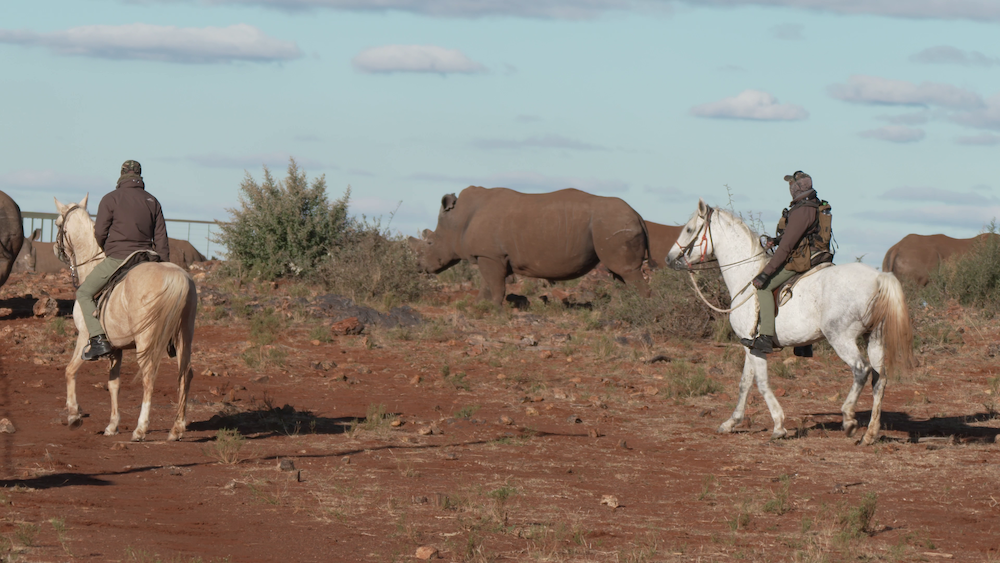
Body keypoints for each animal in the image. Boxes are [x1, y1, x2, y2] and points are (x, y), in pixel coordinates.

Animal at [55, 195, 198, 442]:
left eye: (57, 223)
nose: (56, 249)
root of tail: (176, 277)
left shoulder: (84, 338)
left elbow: (70, 371)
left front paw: (74, 415)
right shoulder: (116, 349)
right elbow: (114, 384)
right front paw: (112, 425)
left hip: (146, 342)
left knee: (149, 376)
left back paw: (140, 429)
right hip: (183, 338)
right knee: (185, 374)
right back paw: (176, 428)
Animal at [408, 186, 651, 305]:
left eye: (430, 242)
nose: (419, 267)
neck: (457, 220)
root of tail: (638, 215)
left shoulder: (491, 256)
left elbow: (495, 285)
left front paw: (494, 308)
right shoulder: (490, 256)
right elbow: (487, 283)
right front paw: (478, 305)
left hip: (613, 223)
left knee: (626, 272)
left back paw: (643, 308)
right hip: (613, 224)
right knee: (619, 274)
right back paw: (619, 310)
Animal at [667, 200, 913, 445]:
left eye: (689, 229)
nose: (669, 259)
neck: (746, 277)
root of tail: (879, 278)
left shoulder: (756, 347)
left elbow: (761, 383)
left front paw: (779, 426)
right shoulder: (750, 345)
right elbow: (745, 383)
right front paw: (731, 422)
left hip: (841, 338)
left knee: (861, 371)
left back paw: (849, 419)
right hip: (875, 339)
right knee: (879, 380)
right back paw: (869, 434)